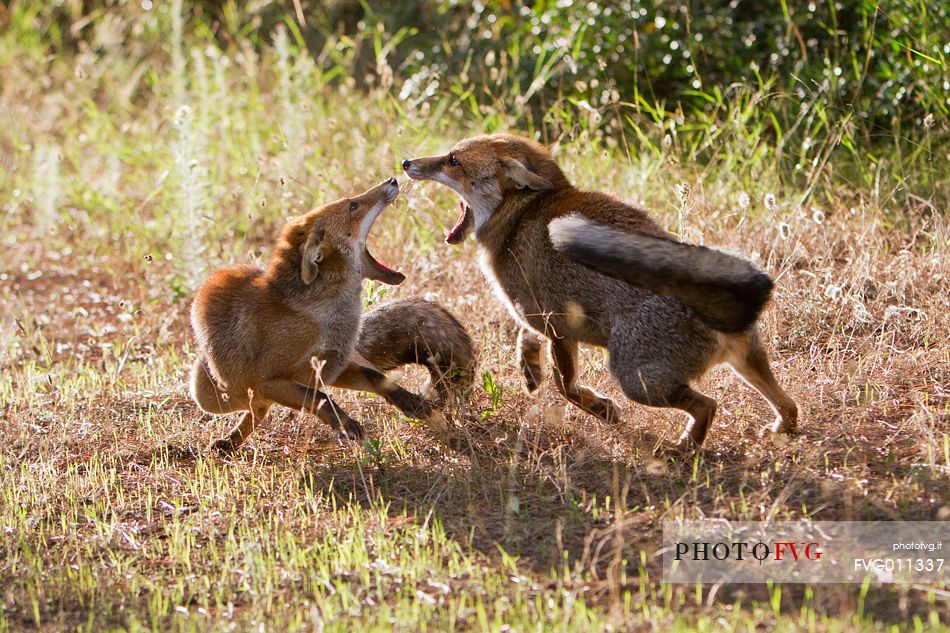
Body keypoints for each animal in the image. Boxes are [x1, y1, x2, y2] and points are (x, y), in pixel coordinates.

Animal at [192, 178, 452, 452]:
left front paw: (410, 402)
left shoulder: (331, 366)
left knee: (258, 410)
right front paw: (345, 424)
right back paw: (230, 441)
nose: (392, 180)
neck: (322, 318)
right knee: (256, 408)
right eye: (353, 205)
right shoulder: (268, 381)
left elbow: (376, 379)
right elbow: (321, 398)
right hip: (208, 393)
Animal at [406, 135, 800, 450]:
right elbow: (526, 337)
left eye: (452, 160)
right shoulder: (538, 317)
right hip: (747, 362)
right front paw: (529, 368)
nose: (407, 163)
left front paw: (602, 410)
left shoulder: (559, 327)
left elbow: (565, 387)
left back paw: (686, 447)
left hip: (636, 381)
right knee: (789, 404)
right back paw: (781, 428)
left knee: (708, 405)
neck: (519, 217)